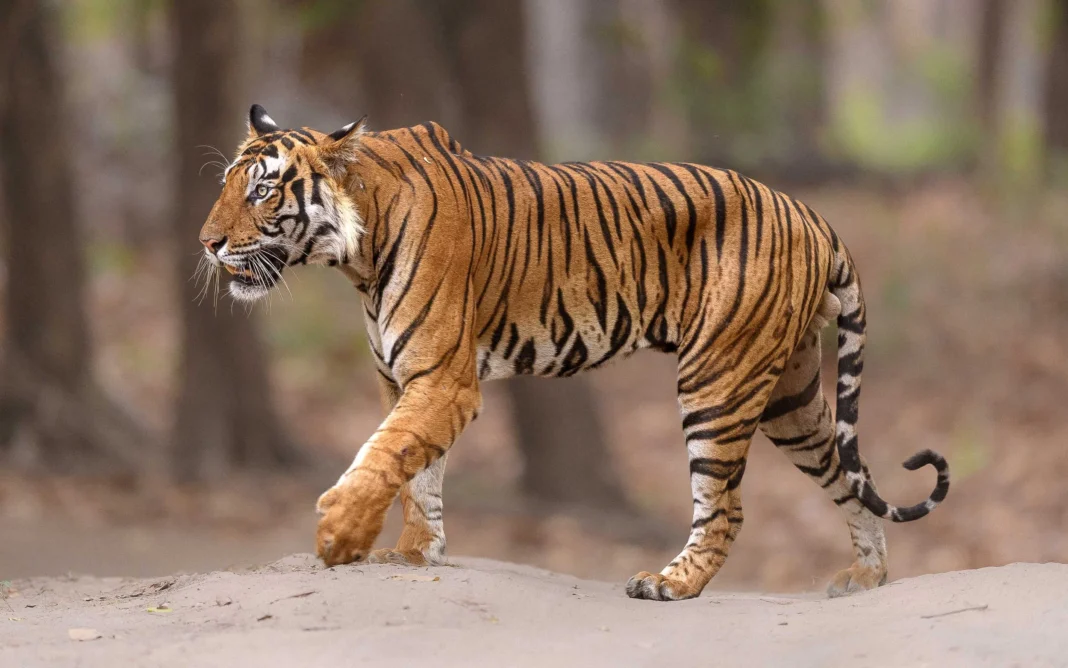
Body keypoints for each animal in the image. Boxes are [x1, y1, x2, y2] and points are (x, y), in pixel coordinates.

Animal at [197, 104, 950, 600]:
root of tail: (812, 215)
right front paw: (412, 554)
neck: (355, 254)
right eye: (225, 184)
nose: (206, 243)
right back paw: (866, 577)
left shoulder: (442, 378)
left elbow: (386, 453)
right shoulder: (401, 378)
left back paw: (669, 583)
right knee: (849, 473)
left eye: (261, 189)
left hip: (717, 379)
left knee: (726, 507)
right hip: (790, 396)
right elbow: (417, 470)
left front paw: (341, 537)